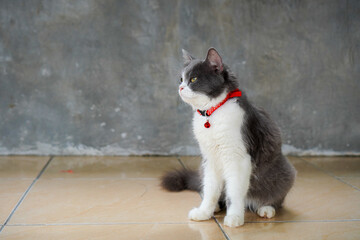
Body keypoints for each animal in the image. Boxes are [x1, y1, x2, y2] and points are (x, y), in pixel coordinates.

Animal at [162, 47, 296, 227]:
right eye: (181, 79)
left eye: (193, 79)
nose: (180, 87)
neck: (213, 113)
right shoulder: (210, 159)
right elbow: (210, 190)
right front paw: (204, 211)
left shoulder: (237, 158)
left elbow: (234, 192)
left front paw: (234, 217)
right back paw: (217, 207)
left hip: (284, 173)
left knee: (276, 199)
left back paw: (266, 208)